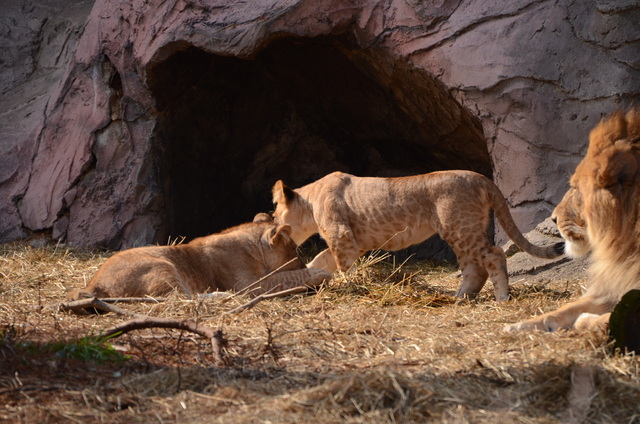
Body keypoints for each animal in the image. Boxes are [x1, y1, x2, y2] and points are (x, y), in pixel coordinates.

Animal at [68, 215, 332, 302]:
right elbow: (287, 277)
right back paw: (221, 296)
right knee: (178, 299)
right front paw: (319, 273)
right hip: (162, 266)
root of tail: (93, 284)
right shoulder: (251, 286)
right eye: (295, 251)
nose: (301, 260)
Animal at [504, 110, 640, 334]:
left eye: (575, 188)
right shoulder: (612, 284)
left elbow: (605, 318)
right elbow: (565, 309)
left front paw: (585, 320)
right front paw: (519, 326)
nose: (553, 218)